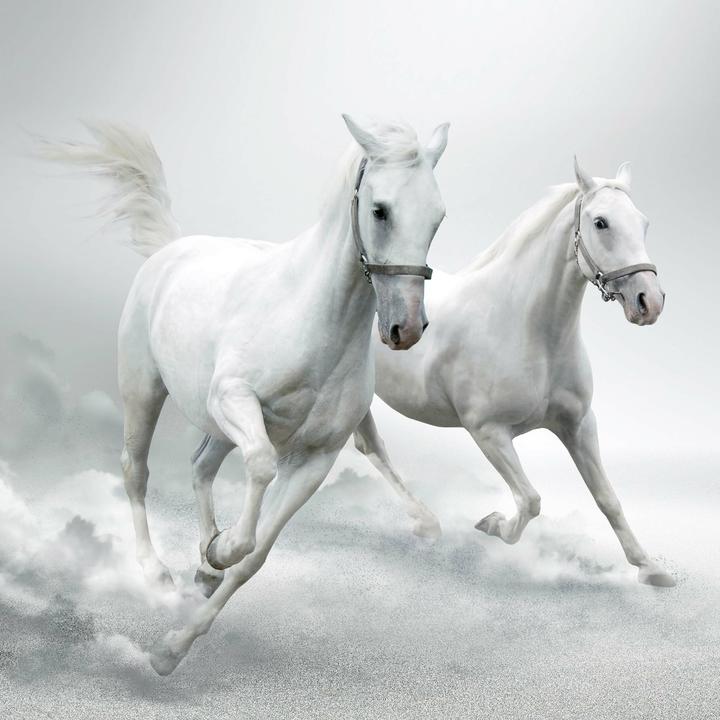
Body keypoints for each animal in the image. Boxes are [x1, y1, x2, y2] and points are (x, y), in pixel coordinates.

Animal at [43, 116, 449, 674]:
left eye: (438, 217)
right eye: (380, 209)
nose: (405, 328)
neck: (310, 319)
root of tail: (172, 248)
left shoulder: (315, 458)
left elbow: (255, 558)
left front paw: (176, 642)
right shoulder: (234, 400)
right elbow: (258, 467)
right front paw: (222, 550)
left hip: (214, 427)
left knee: (199, 466)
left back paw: (201, 565)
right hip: (144, 388)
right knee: (135, 469)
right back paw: (156, 572)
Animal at [353, 158, 675, 588]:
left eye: (643, 222)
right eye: (601, 222)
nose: (649, 301)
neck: (525, 327)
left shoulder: (578, 425)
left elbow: (607, 498)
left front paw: (650, 568)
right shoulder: (488, 431)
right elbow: (530, 500)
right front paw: (492, 523)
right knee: (372, 447)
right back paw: (426, 522)